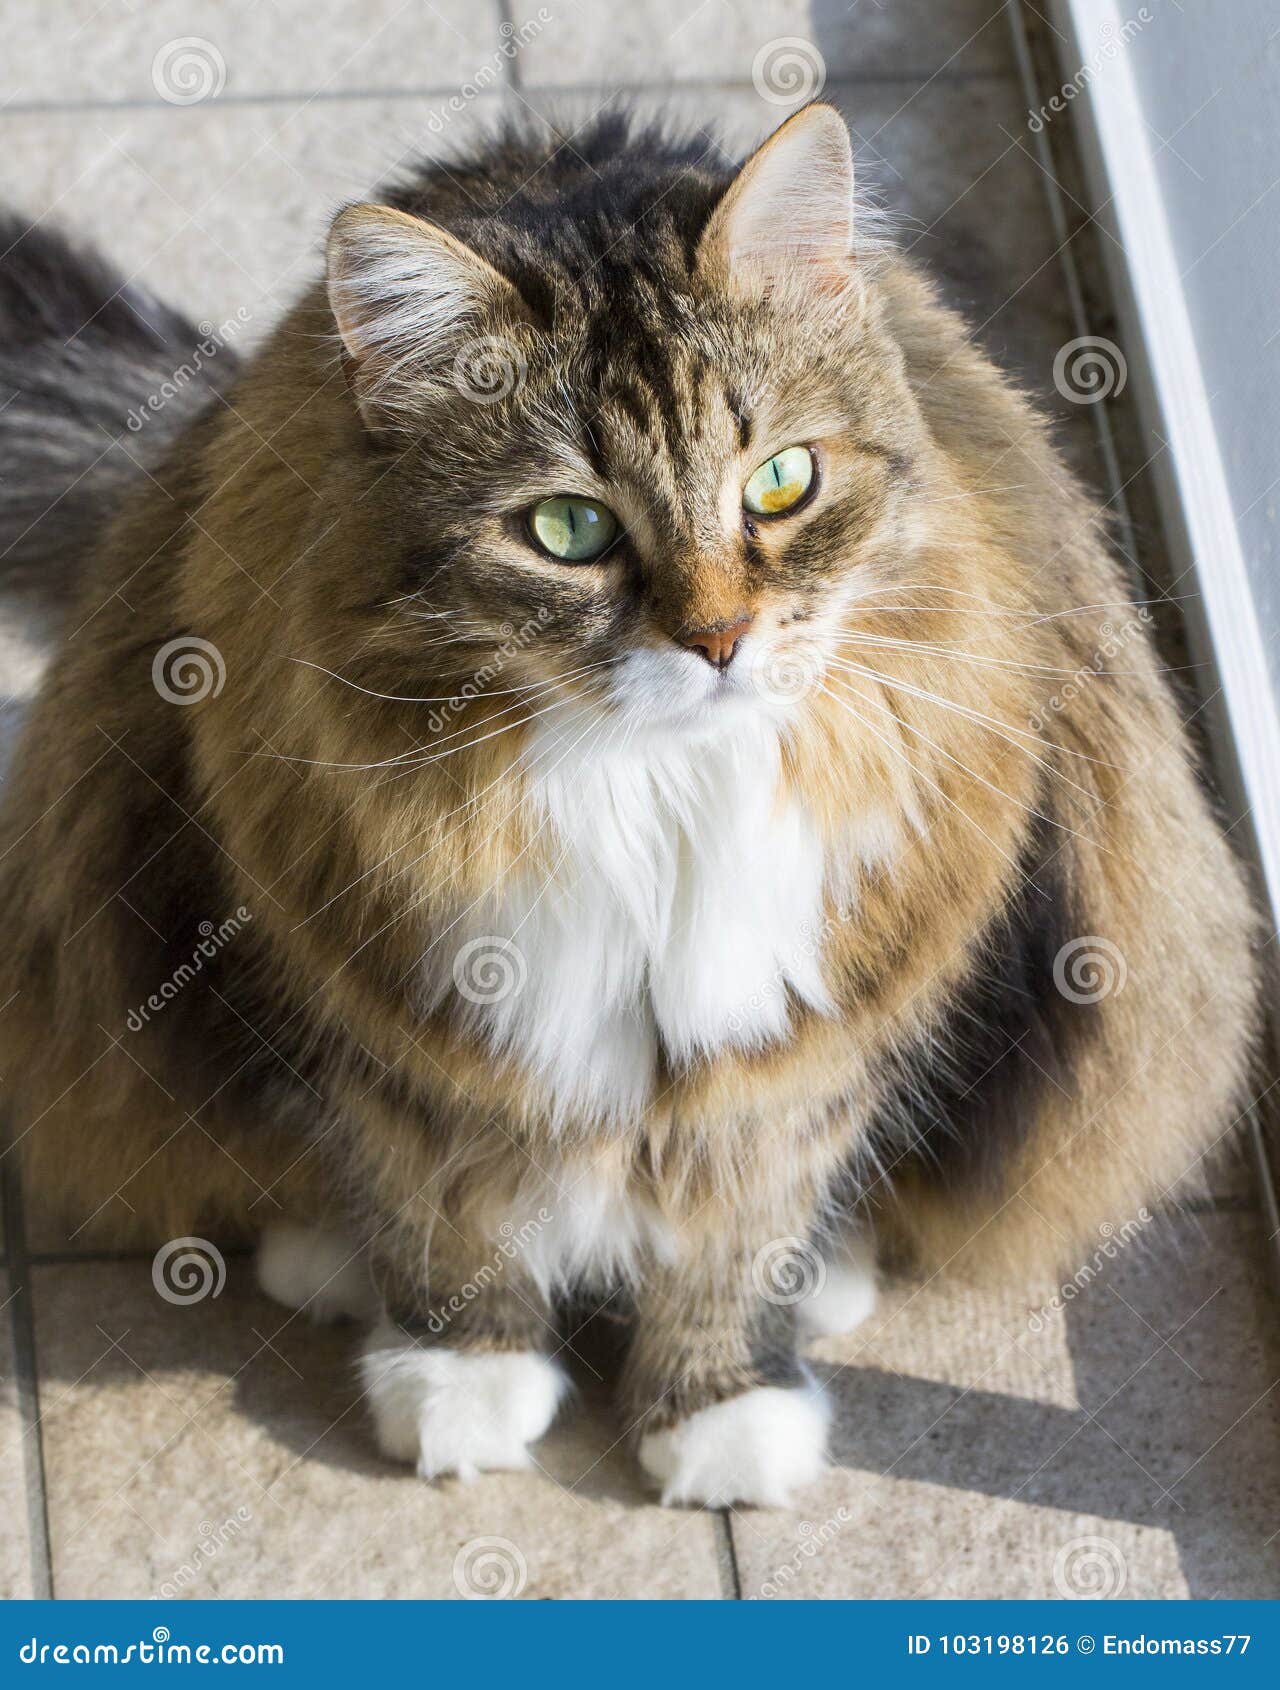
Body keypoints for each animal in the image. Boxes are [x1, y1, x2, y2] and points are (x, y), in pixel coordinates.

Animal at [0, 109, 1258, 1507]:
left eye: (779, 483)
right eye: (567, 528)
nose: (715, 639)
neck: (652, 794)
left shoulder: (806, 1029)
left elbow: (743, 1223)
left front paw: (716, 1413)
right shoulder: (391, 1005)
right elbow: (440, 1204)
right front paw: (461, 1375)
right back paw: (326, 1260)